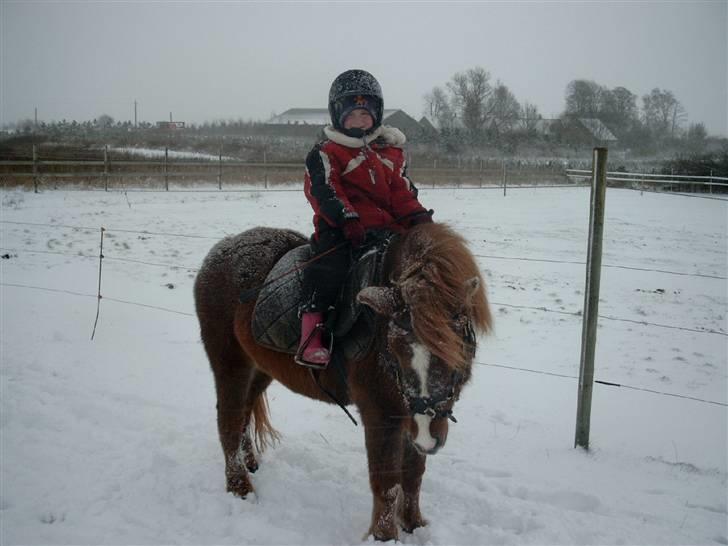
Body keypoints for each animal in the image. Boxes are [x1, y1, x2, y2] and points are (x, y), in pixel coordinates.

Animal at [193, 222, 492, 540]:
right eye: (395, 349)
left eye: (458, 347)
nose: (427, 437)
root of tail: (220, 250)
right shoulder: (381, 412)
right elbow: (386, 482)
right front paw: (384, 536)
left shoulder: (410, 414)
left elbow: (413, 476)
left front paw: (414, 525)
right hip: (230, 363)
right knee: (229, 420)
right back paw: (240, 487)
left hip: (260, 368)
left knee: (245, 414)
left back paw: (251, 464)